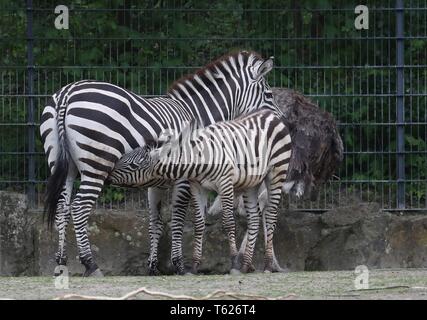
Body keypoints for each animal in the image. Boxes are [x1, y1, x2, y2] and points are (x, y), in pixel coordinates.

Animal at [108, 109, 292, 272]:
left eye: (133, 165)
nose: (108, 175)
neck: (200, 159)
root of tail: (270, 114)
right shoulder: (197, 187)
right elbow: (198, 224)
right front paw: (195, 265)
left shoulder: (225, 183)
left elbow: (228, 222)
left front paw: (233, 262)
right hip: (252, 181)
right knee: (254, 218)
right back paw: (246, 265)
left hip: (276, 173)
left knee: (271, 215)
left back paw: (267, 265)